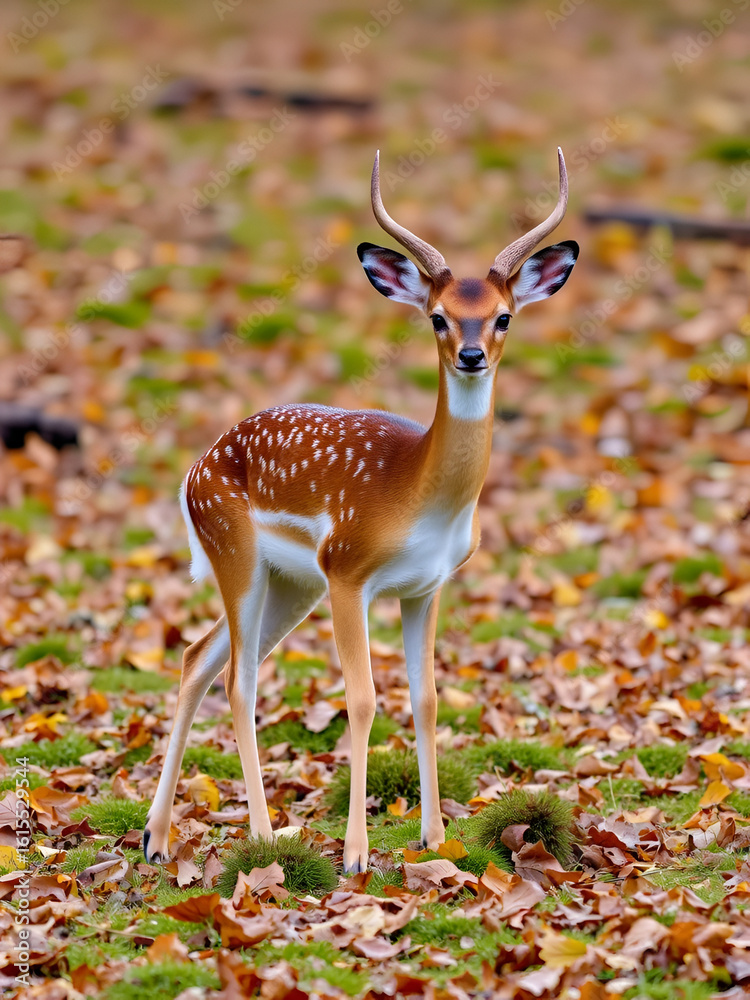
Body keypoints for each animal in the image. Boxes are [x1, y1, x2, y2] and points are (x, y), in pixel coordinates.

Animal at [143, 149, 578, 873]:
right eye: (436, 316)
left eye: (504, 316)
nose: (471, 355)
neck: (416, 496)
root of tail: (190, 474)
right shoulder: (348, 570)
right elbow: (364, 698)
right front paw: (354, 854)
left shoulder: (427, 585)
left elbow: (427, 698)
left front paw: (434, 836)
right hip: (240, 552)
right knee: (238, 679)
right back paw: (263, 836)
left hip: (290, 583)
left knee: (198, 657)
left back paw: (156, 838)